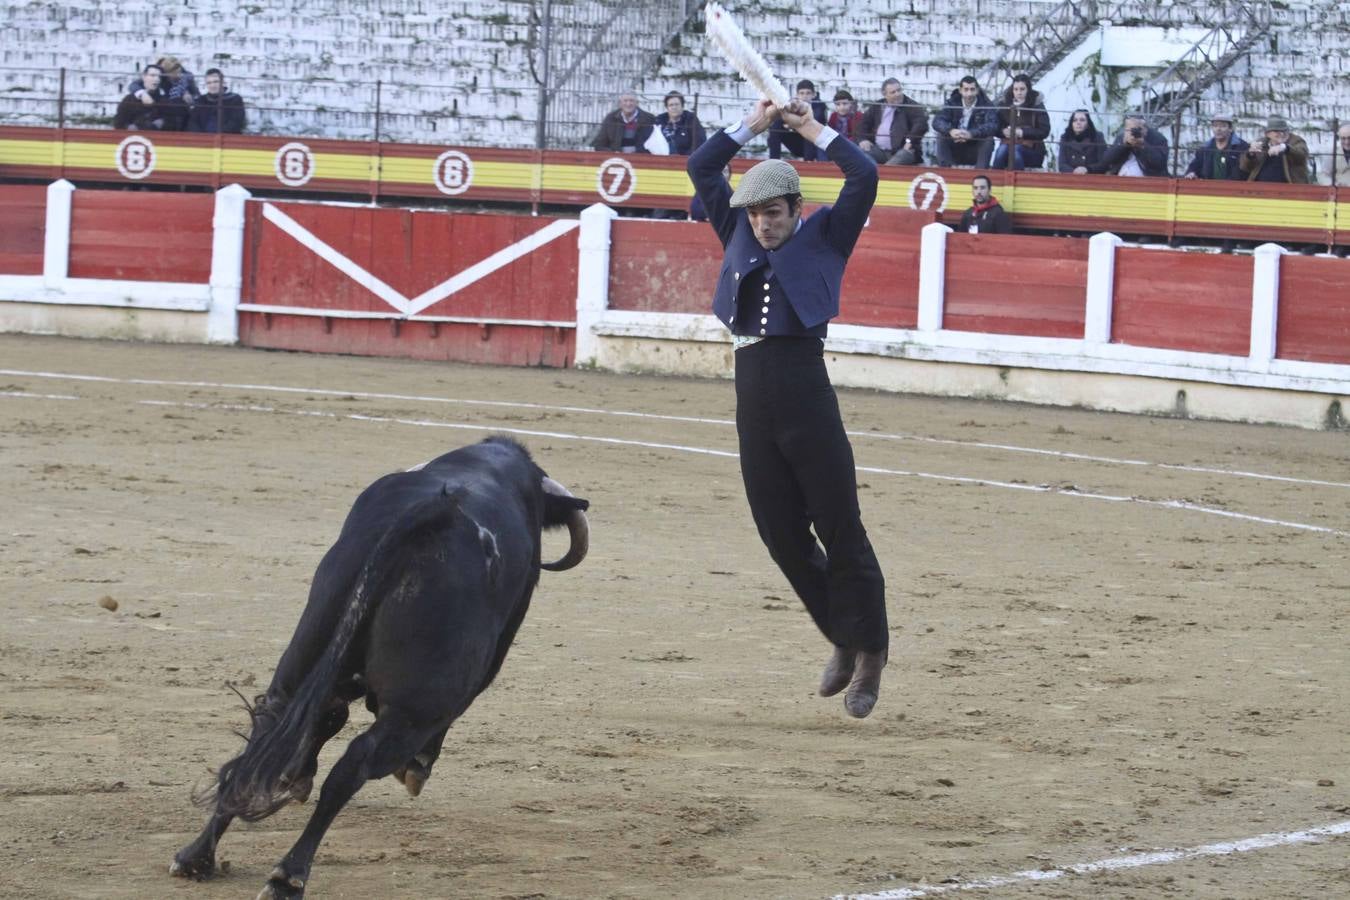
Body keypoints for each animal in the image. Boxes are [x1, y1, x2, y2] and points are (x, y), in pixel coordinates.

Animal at [171, 437, 588, 895]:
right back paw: (288, 876)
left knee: (263, 735)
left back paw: (196, 857)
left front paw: (296, 777)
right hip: (415, 710)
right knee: (355, 764)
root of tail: (433, 513)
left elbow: (322, 720)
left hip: (302, 658)